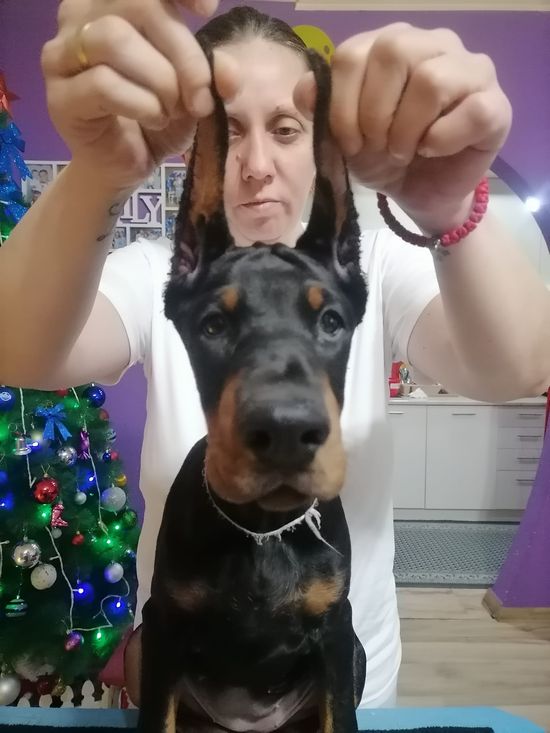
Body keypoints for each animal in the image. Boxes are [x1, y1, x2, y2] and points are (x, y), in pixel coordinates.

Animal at [137, 48, 368, 733]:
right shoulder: (162, 627)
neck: (262, 529)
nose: (287, 433)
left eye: (331, 321)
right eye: (213, 325)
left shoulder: (336, 632)